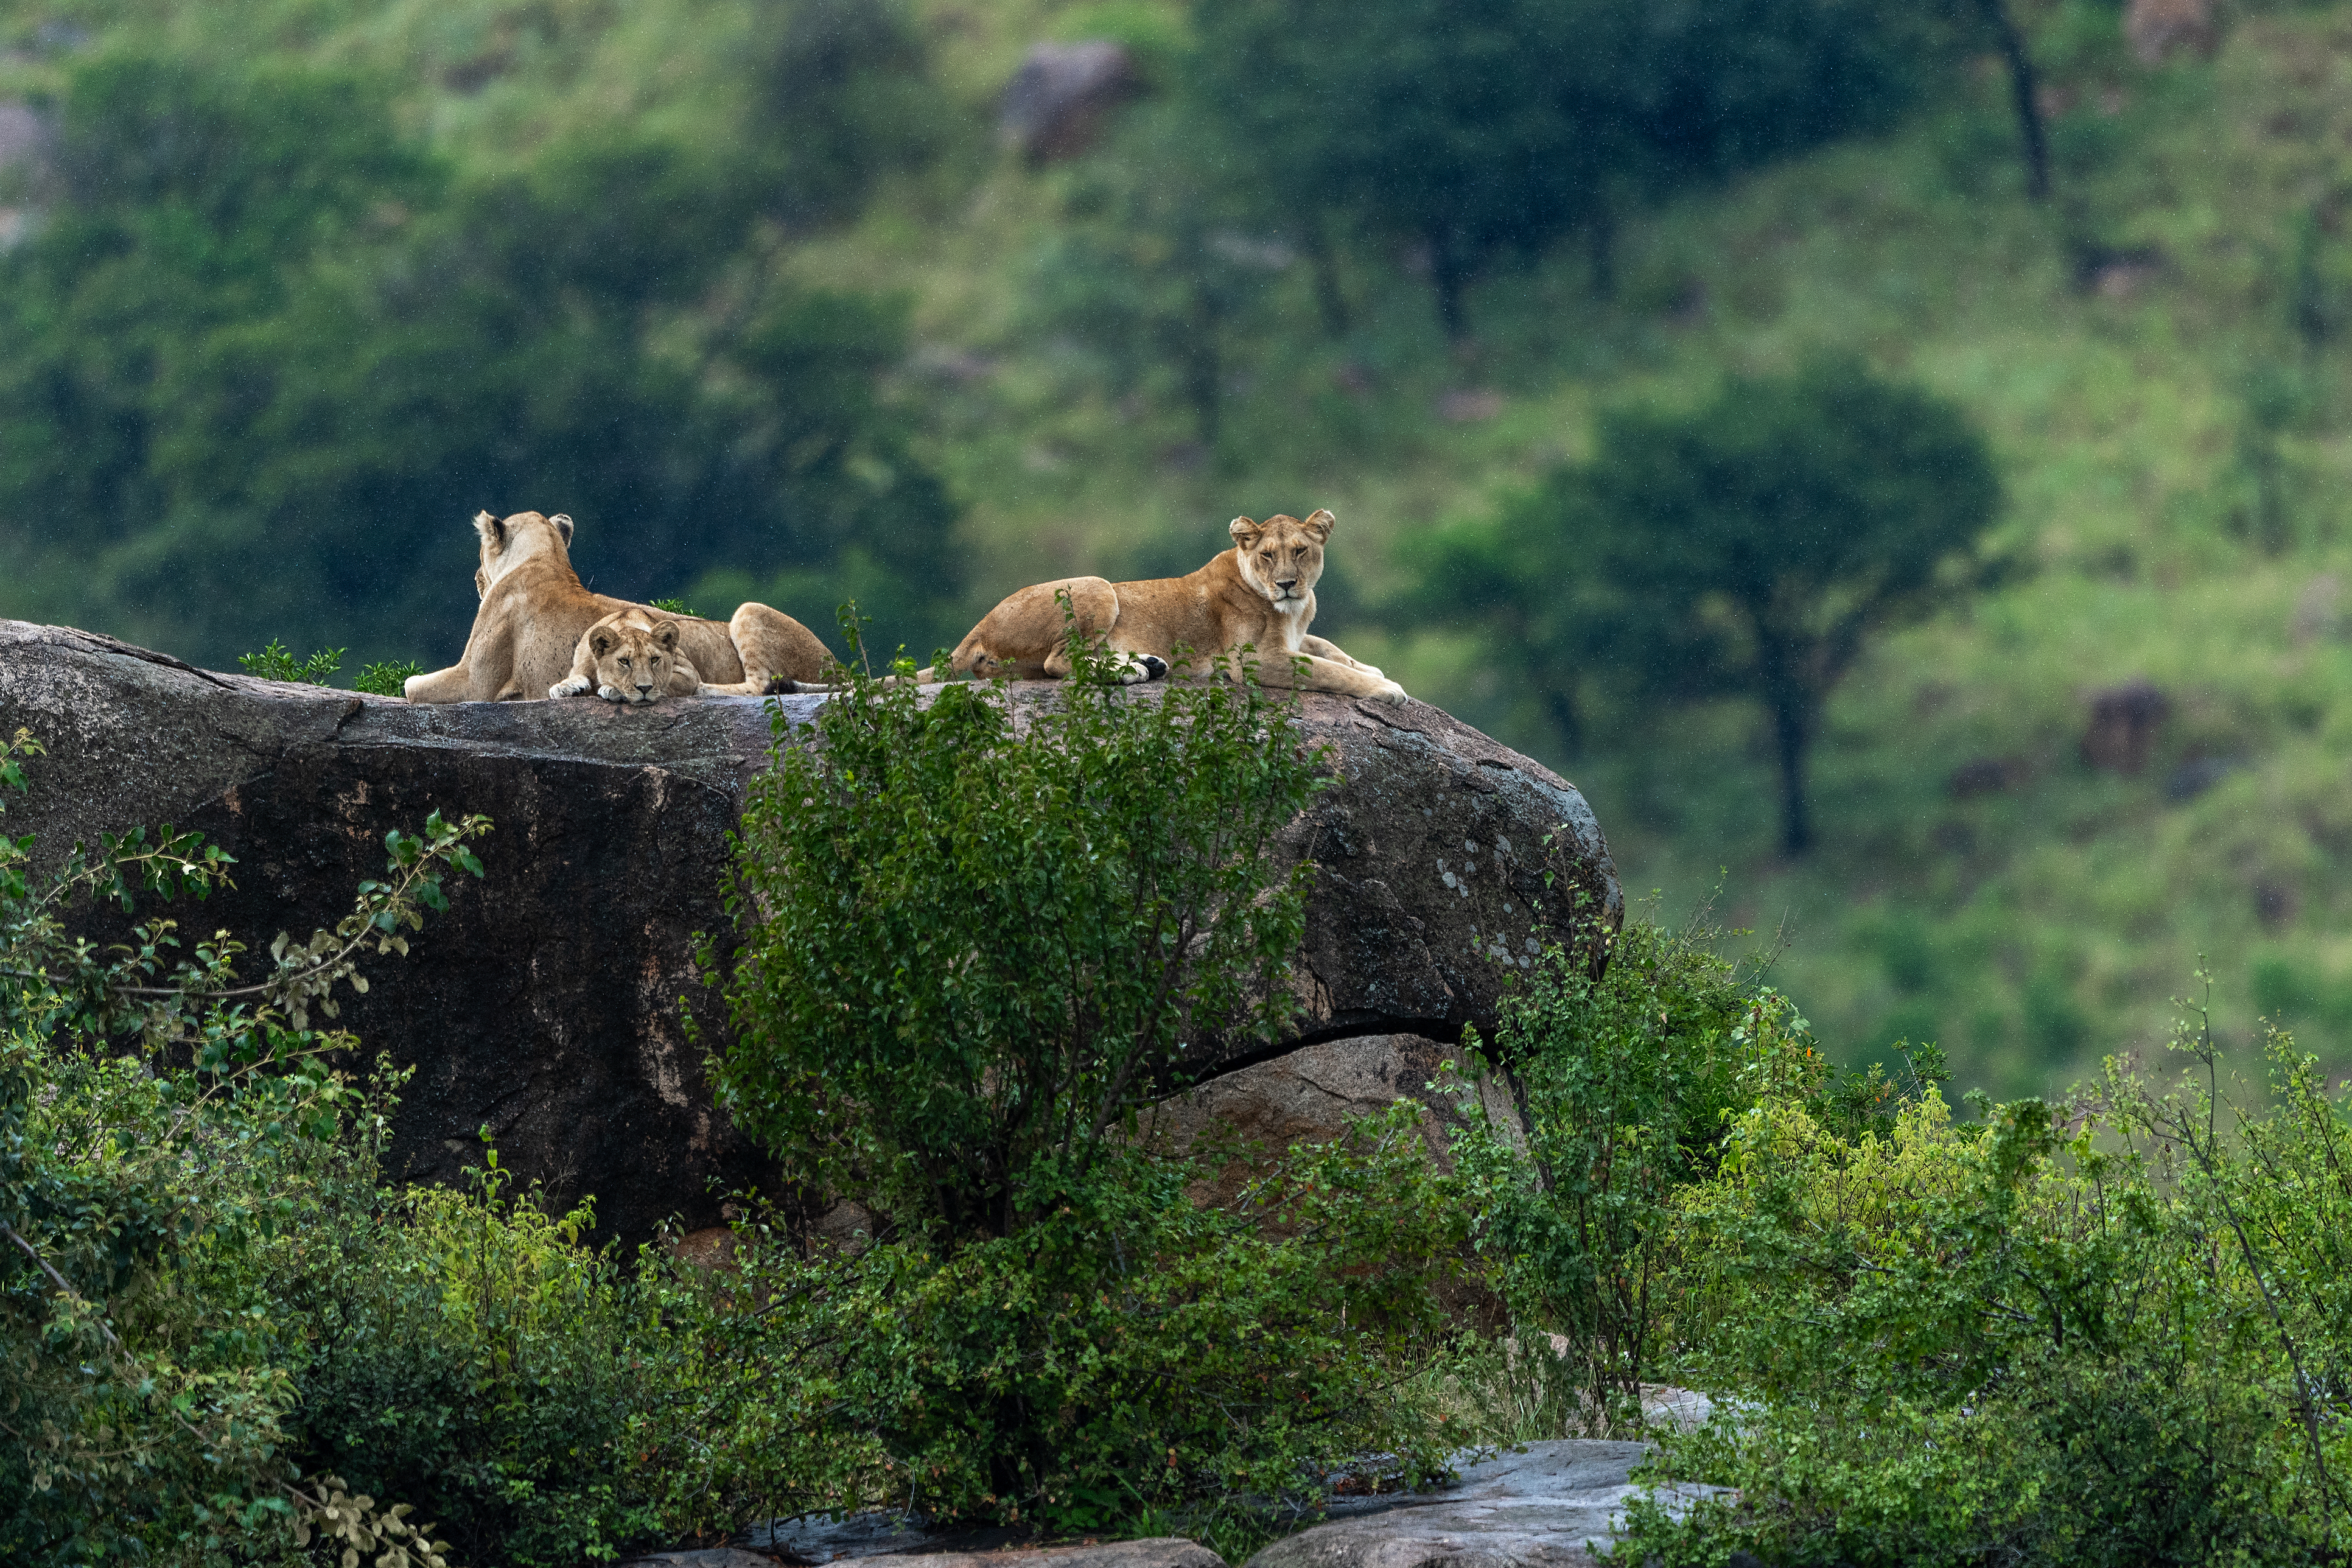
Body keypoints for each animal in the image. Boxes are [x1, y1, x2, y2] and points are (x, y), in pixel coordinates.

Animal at [551, 608, 703, 704]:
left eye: (654, 659)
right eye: (624, 661)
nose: (644, 688)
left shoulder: (690, 675)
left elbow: (664, 684)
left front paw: (612, 690)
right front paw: (566, 687)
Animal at [927, 510, 1407, 703]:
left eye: (1301, 551)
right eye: (1268, 555)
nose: (1287, 584)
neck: (1292, 609)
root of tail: (978, 629)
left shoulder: (1295, 637)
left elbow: (1327, 649)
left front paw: (1372, 669)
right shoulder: (1254, 661)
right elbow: (1327, 670)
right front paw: (1386, 689)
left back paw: (1147, 665)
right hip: (1099, 587)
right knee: (1058, 663)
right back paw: (1133, 671)